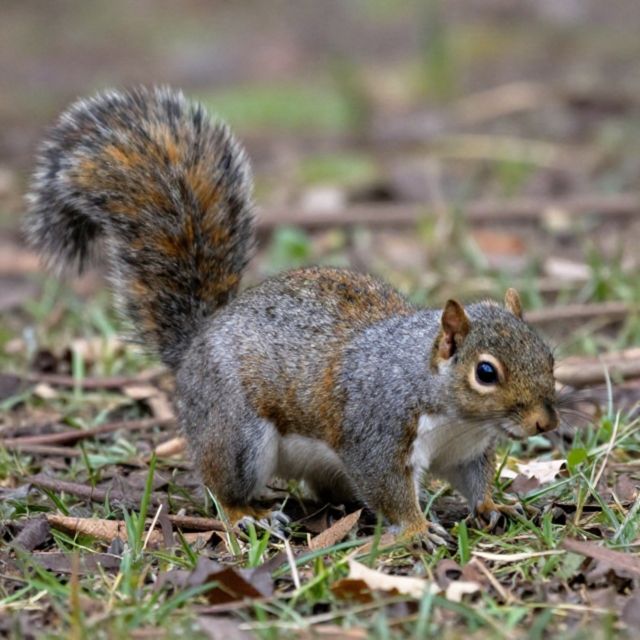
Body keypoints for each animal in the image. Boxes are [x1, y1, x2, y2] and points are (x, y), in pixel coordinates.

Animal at [25, 86, 559, 547]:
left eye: (550, 356)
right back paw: (249, 515)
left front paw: (493, 505)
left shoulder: (466, 448)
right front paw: (415, 529)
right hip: (237, 432)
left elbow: (475, 479)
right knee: (221, 484)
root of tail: (196, 344)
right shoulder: (377, 433)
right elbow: (388, 487)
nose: (545, 423)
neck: (450, 411)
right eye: (485, 372)